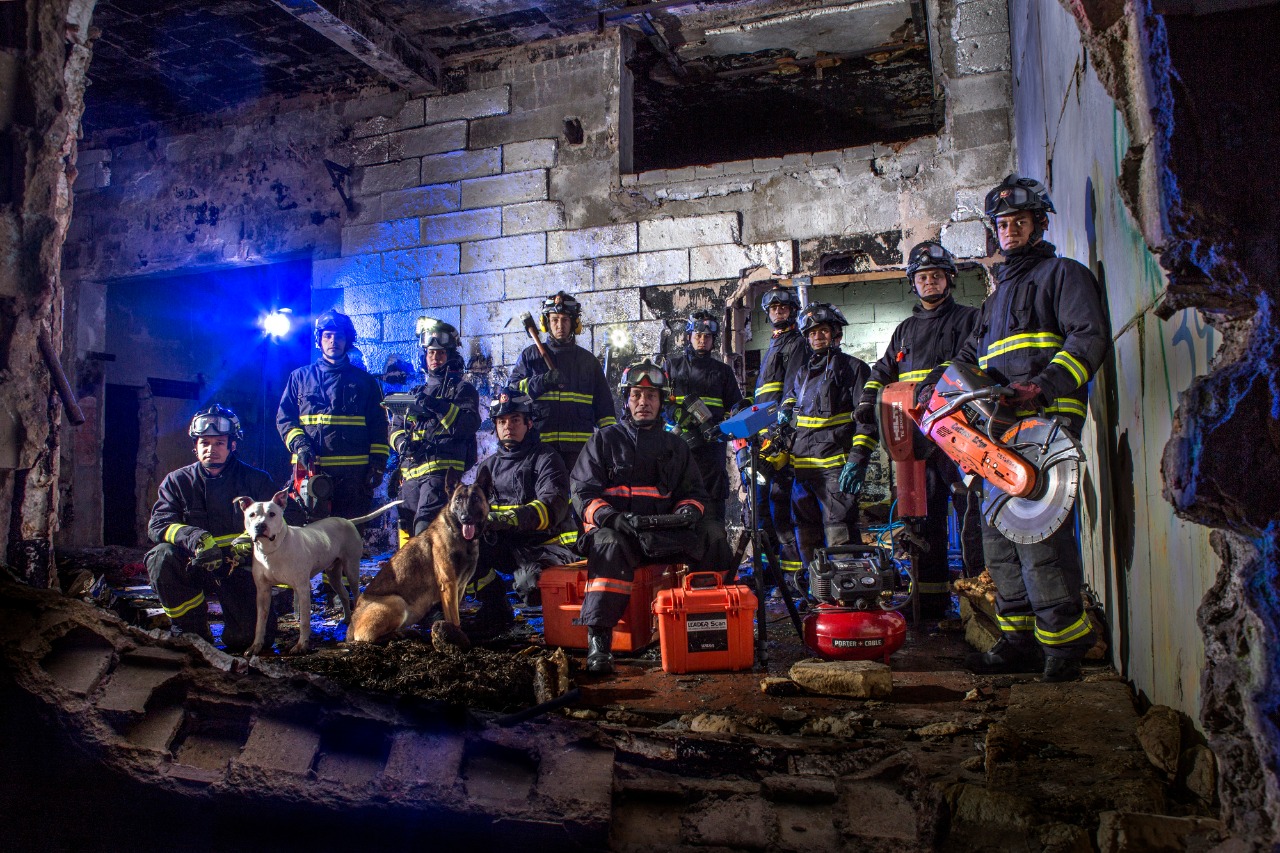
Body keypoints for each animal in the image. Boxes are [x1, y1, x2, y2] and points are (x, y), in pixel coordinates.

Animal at [235, 489, 399, 653]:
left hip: (351, 569)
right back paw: (346, 618)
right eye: (252, 514)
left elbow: (305, 620)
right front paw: (256, 646)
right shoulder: (263, 591)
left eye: (272, 514)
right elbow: (260, 622)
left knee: (355, 593)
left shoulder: (302, 588)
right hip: (333, 575)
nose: (260, 526)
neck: (272, 549)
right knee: (344, 594)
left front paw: (301, 645)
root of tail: (347, 521)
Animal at [348, 466, 491, 645]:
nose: (465, 518)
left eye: (476, 498)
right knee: (367, 638)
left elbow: (456, 615)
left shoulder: (460, 587)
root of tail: (351, 625)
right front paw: (455, 637)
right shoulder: (449, 585)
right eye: (458, 500)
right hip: (397, 601)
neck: (459, 536)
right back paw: (396, 635)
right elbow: (454, 618)